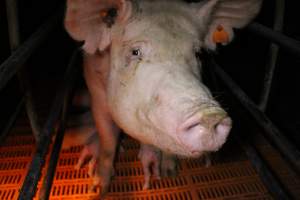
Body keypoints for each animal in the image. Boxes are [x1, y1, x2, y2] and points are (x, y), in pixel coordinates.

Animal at [64, 0, 262, 197]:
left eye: (198, 53)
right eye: (135, 52)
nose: (210, 115)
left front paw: (169, 173)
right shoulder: (96, 92)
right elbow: (107, 141)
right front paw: (98, 189)